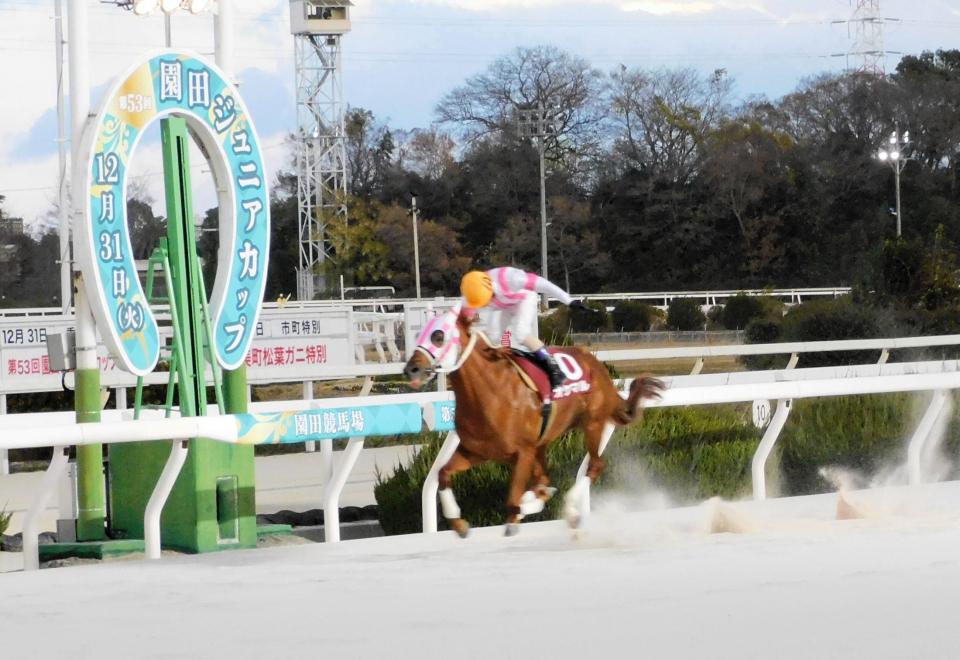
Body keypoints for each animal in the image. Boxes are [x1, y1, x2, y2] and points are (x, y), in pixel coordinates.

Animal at [402, 304, 664, 536]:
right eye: (418, 333)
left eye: (438, 336)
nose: (411, 369)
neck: (489, 392)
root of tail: (597, 365)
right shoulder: (476, 451)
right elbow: (443, 474)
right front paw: (459, 523)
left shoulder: (523, 452)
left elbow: (512, 499)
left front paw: (518, 514)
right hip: (544, 443)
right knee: (546, 478)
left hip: (592, 422)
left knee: (595, 465)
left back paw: (567, 507)